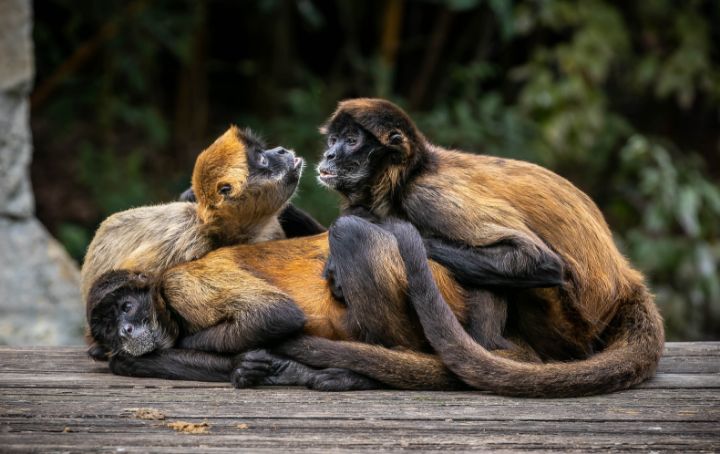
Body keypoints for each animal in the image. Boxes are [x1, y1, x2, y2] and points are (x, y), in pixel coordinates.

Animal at [256, 98, 664, 397]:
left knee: (352, 234)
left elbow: (539, 261)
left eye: (352, 141)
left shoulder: (429, 196)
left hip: (563, 318)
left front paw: (365, 227)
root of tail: (625, 280)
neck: (414, 172)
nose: (329, 156)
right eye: (333, 141)